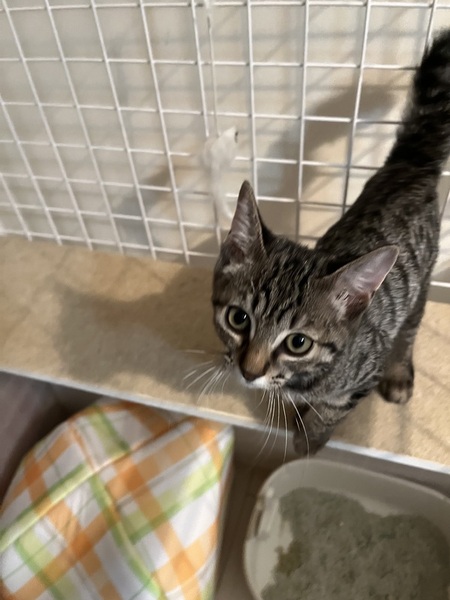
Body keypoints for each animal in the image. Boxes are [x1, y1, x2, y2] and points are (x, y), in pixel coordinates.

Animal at [212, 29, 450, 456]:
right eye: (239, 319)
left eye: (298, 343)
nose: (248, 371)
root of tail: (408, 162)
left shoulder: (361, 377)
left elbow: (329, 413)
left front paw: (309, 440)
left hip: (421, 284)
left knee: (410, 329)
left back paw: (399, 374)